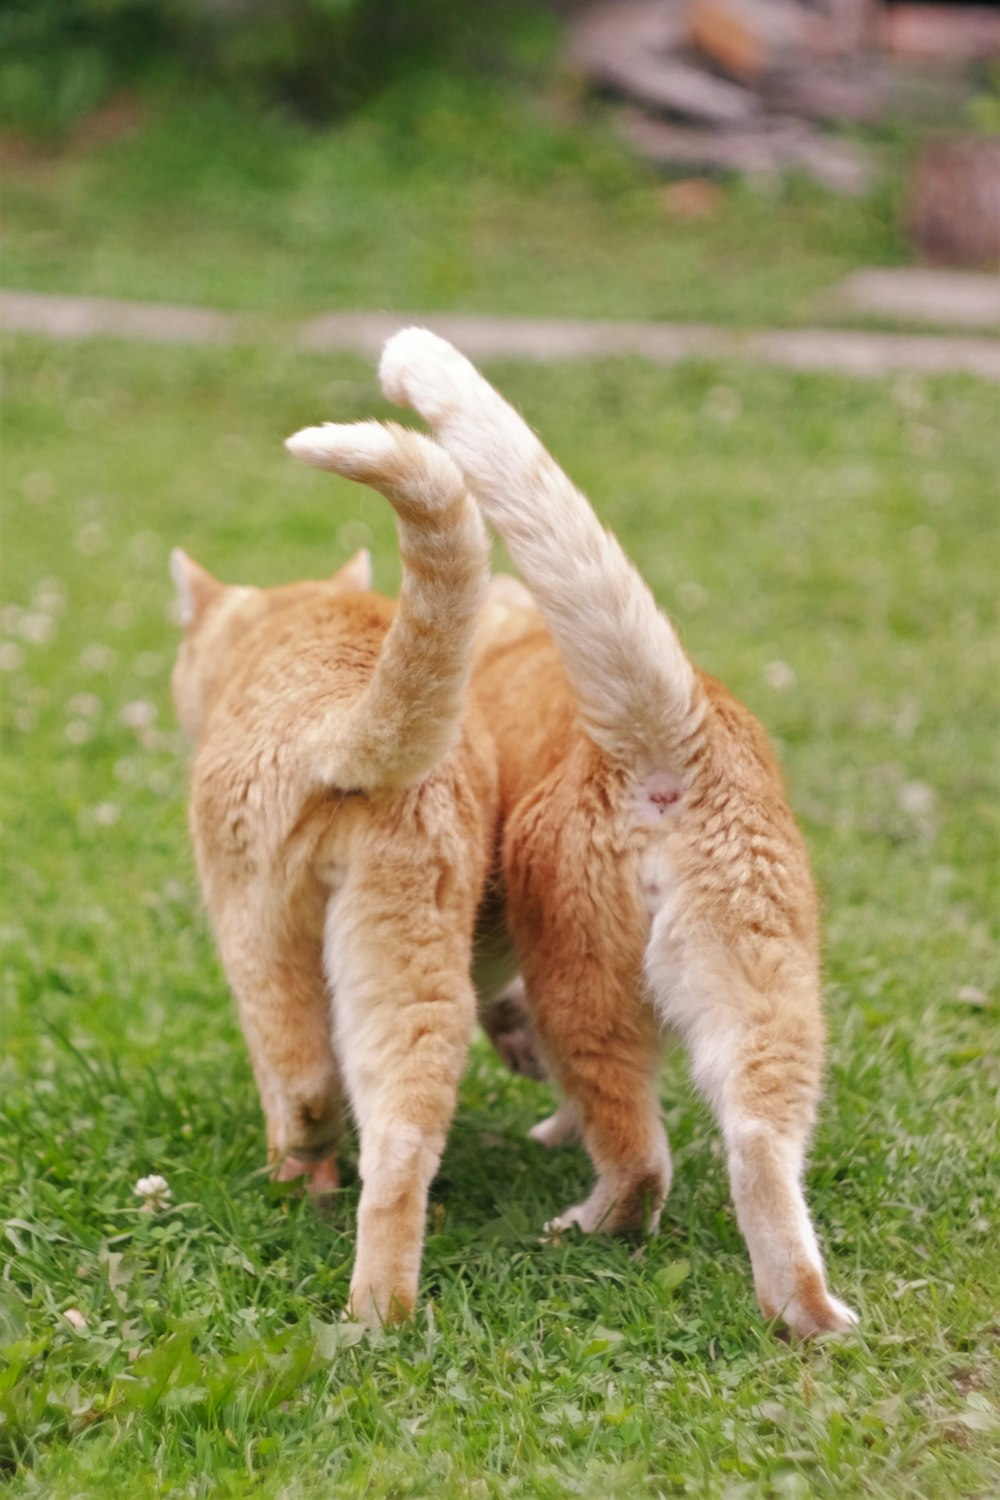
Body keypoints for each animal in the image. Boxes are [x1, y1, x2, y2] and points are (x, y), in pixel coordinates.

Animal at [173, 417, 500, 1320]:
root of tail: (336, 715)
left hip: (258, 931)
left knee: (307, 1076)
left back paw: (297, 1179)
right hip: (412, 961)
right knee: (401, 1140)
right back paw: (378, 1314)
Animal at [383, 328, 863, 1338]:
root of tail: (665, 731)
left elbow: (517, 1029)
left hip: (584, 982)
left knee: (642, 1152)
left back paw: (588, 1222)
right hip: (766, 996)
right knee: (757, 1149)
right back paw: (809, 1315)